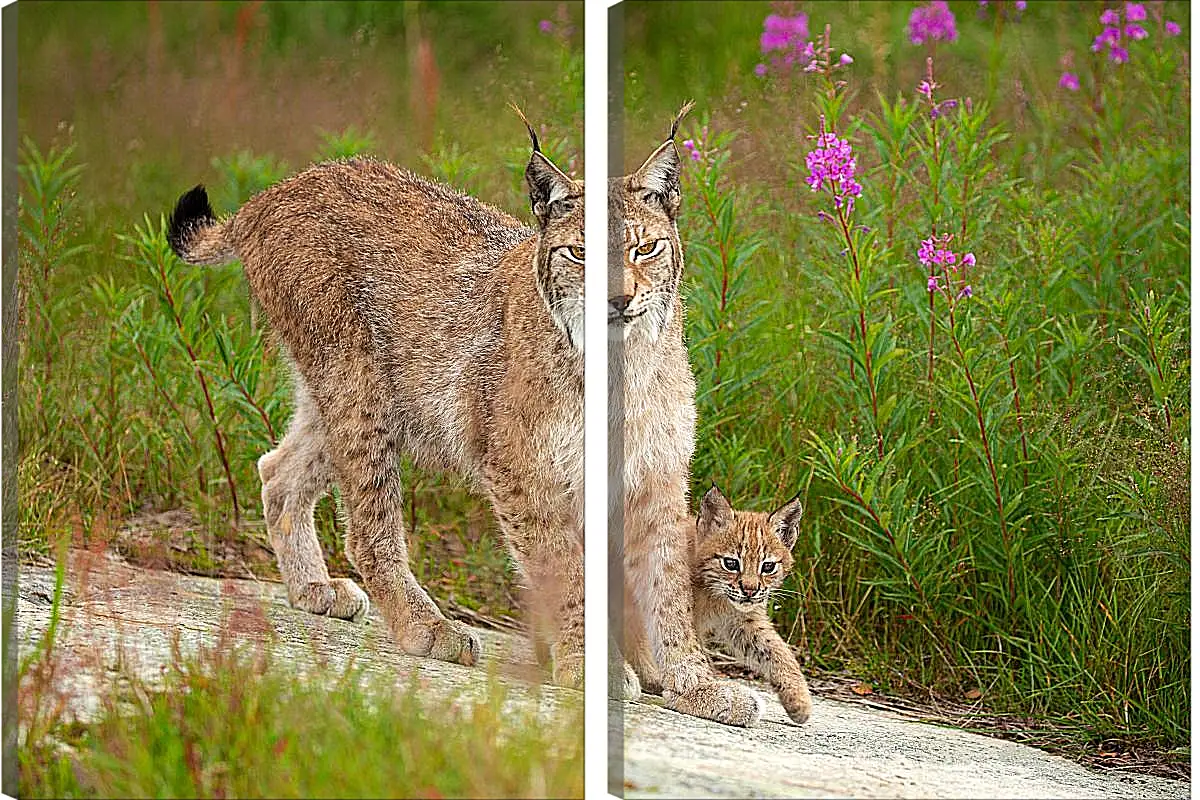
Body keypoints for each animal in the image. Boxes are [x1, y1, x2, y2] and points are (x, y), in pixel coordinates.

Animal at [165, 115, 585, 686]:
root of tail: (278, 190)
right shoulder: (519, 460)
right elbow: (562, 565)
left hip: (352, 389)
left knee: (277, 471)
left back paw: (314, 590)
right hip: (359, 381)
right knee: (367, 528)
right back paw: (427, 628)